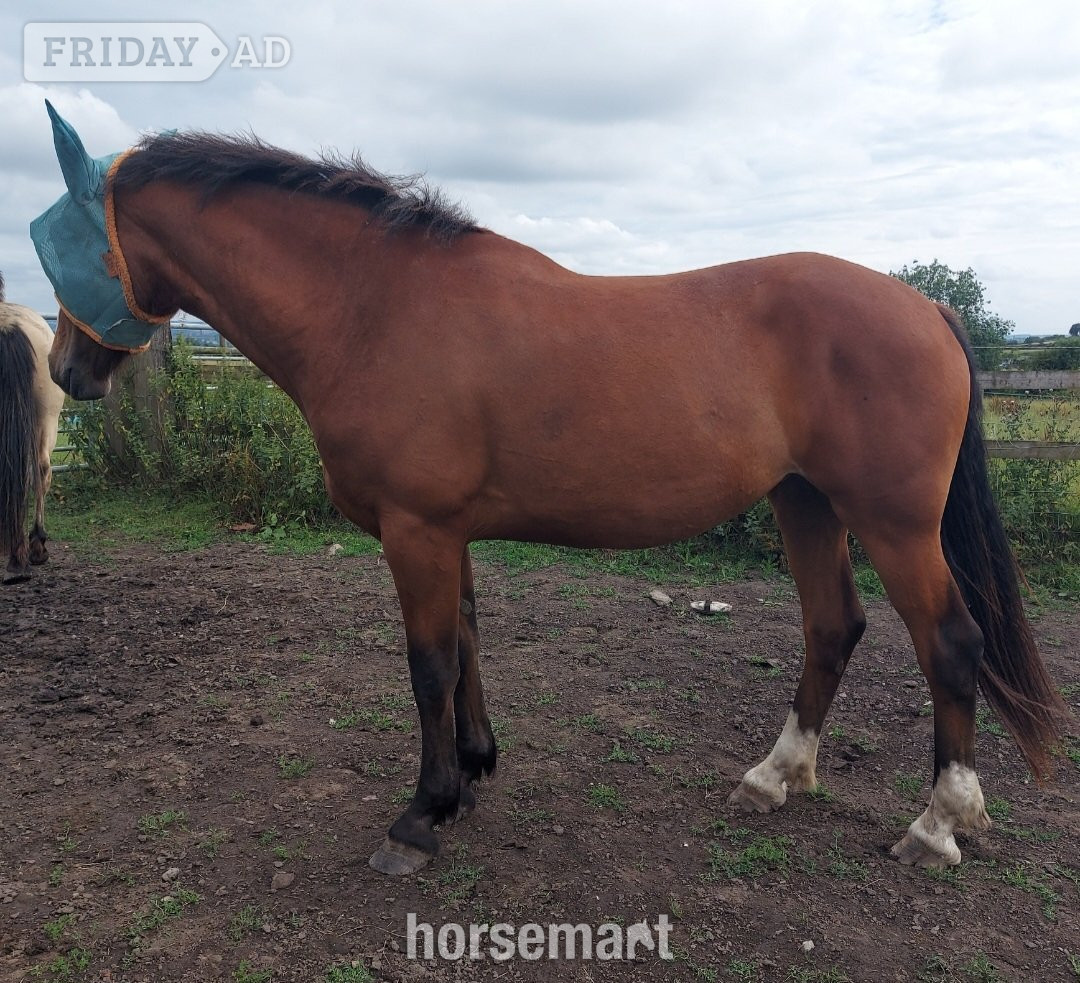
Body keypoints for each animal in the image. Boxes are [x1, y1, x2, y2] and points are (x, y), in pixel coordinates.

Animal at [35, 102, 1069, 875]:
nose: (65, 370)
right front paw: (472, 771)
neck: (374, 306)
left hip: (893, 521)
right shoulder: (443, 532)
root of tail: (924, 304)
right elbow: (466, 642)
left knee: (950, 642)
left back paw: (938, 822)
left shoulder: (415, 529)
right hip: (805, 502)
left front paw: (422, 813)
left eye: (62, 240)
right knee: (832, 627)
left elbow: (428, 664)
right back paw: (776, 775)